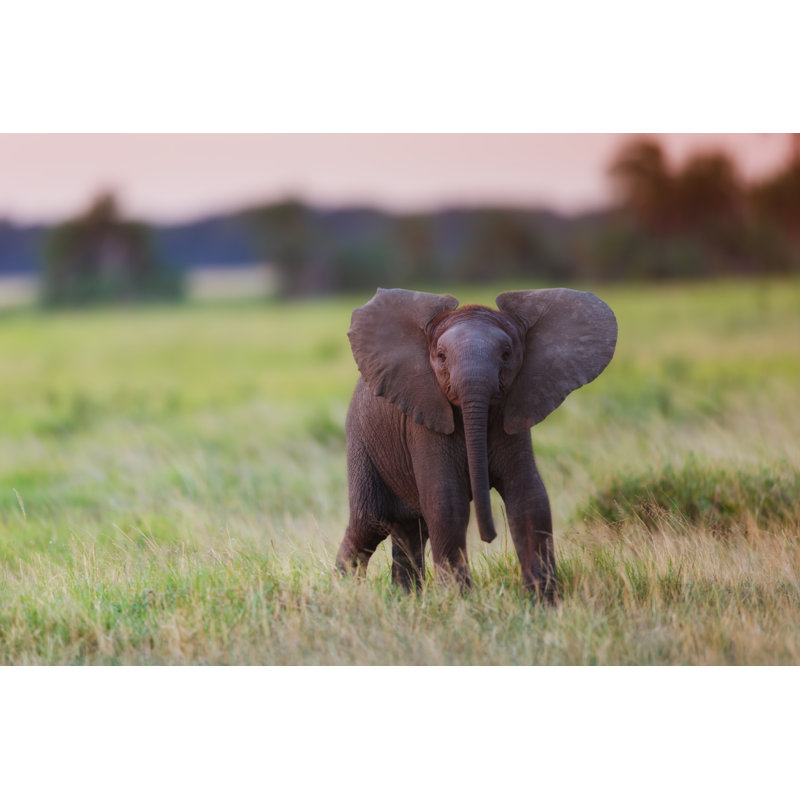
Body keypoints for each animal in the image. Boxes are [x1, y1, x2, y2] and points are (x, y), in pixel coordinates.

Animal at [335, 287, 617, 600]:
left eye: (506, 354)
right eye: (441, 356)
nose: (489, 537)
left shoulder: (514, 410)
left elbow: (529, 497)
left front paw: (543, 602)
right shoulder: (425, 421)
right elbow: (446, 503)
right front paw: (462, 603)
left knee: (410, 530)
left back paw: (406, 598)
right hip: (361, 443)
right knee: (369, 524)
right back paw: (344, 590)